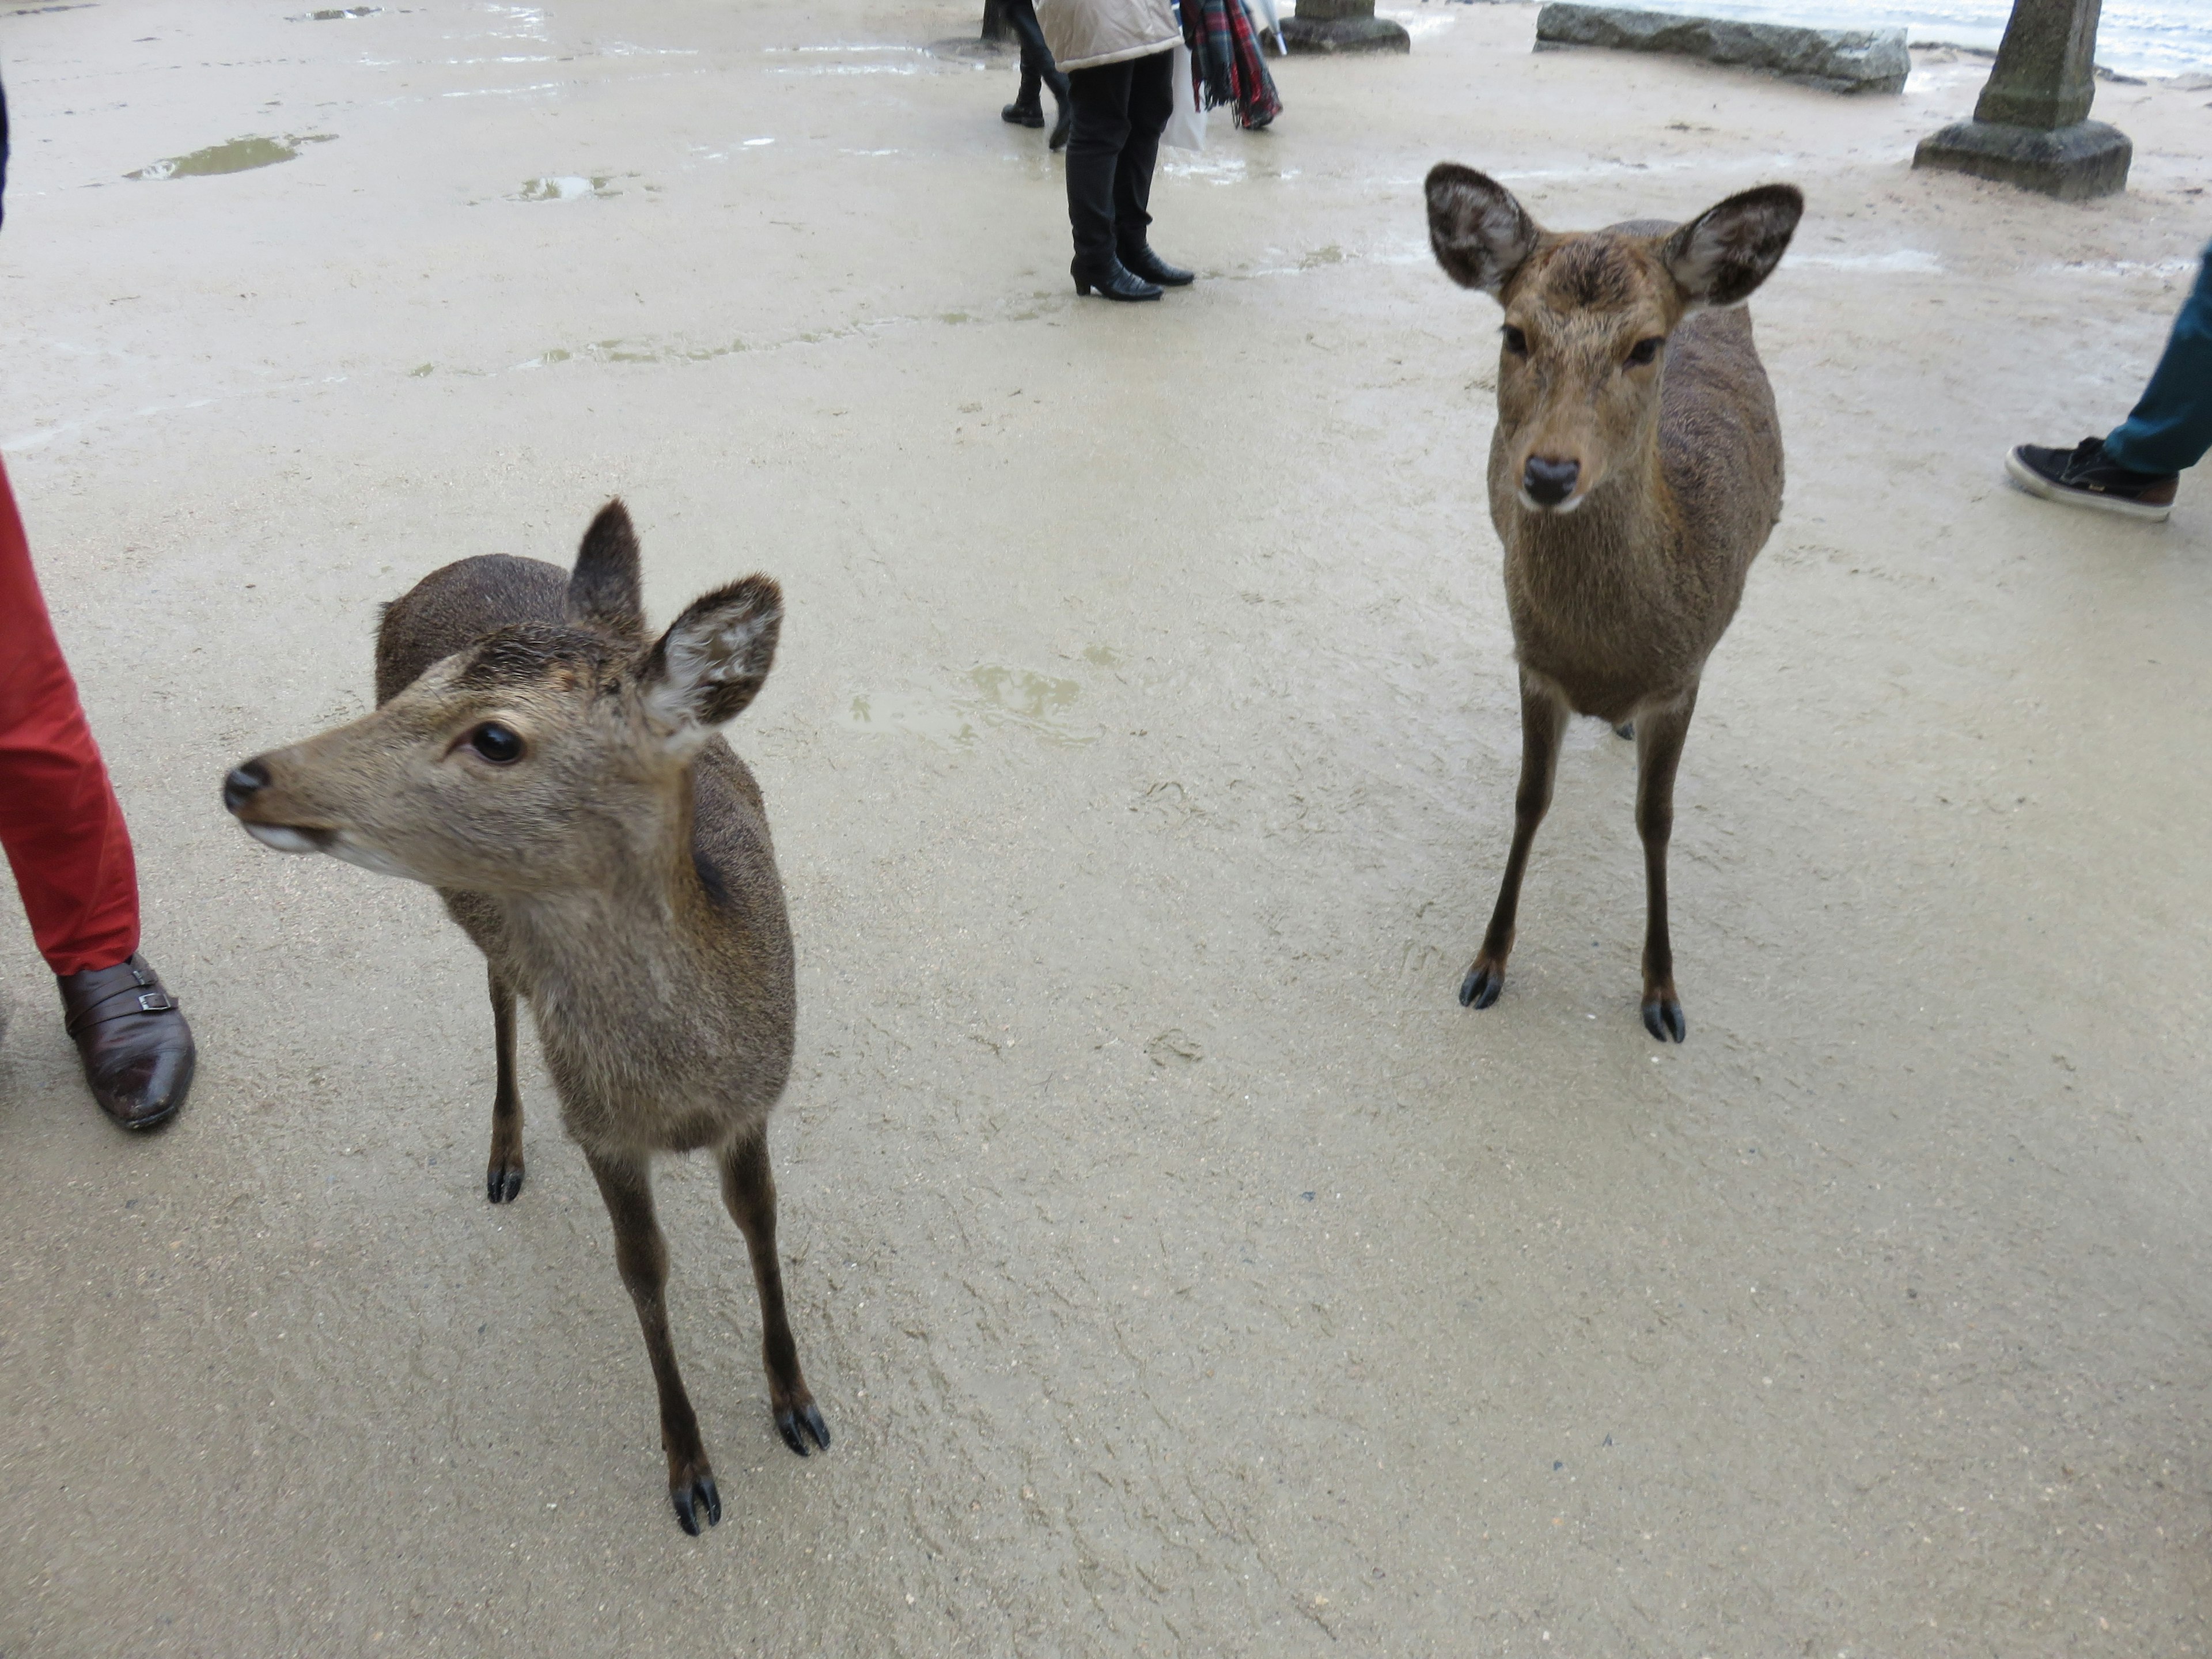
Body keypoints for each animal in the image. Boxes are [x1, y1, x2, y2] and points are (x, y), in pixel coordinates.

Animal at [222, 504, 831, 1531]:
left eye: (497, 739)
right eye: (419, 690)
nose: (245, 779)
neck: (681, 1087)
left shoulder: (757, 1097)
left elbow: (760, 1220)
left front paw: (797, 1403)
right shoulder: (598, 1126)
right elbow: (642, 1267)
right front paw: (690, 1471)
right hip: (474, 902)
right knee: (501, 990)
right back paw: (503, 1149)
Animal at [1424, 172, 1805, 1052]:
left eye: (1646, 345)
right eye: (1515, 331)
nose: (1550, 472)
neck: (1608, 656)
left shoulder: (1684, 676)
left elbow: (1656, 819)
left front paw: (1663, 993)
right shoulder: (1532, 660)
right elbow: (1529, 800)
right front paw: (1485, 965)